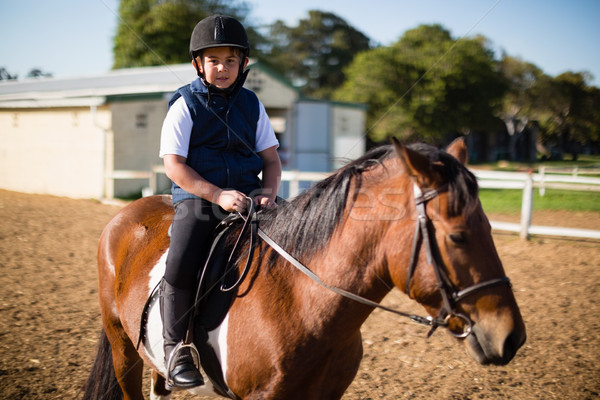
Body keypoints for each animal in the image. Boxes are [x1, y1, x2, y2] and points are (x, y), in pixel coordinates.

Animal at [83, 140, 524, 400]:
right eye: (458, 237)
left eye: (489, 227)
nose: (511, 337)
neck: (300, 302)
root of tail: (127, 213)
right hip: (123, 350)